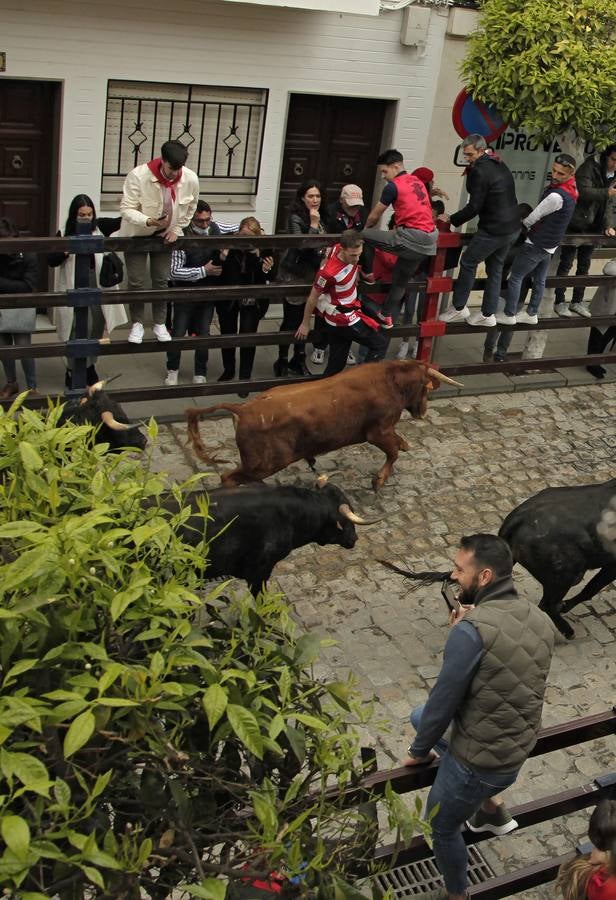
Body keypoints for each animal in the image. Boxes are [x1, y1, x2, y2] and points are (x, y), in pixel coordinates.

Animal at [185, 356, 460, 488]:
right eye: (425, 388)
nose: (423, 411)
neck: (389, 380)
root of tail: (243, 409)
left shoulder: (385, 431)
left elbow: (400, 445)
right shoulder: (378, 432)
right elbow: (393, 451)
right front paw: (379, 480)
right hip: (263, 464)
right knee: (228, 478)